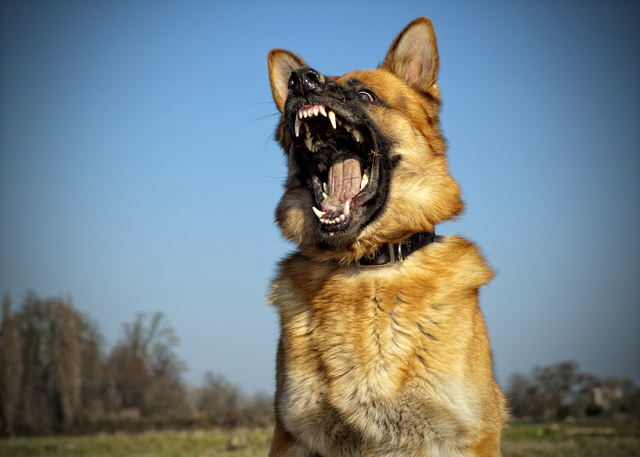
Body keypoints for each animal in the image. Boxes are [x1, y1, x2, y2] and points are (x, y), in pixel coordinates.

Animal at [264, 16, 504, 456]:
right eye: (295, 84)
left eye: (365, 95)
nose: (300, 80)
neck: (366, 265)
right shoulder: (292, 437)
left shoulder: (465, 435)